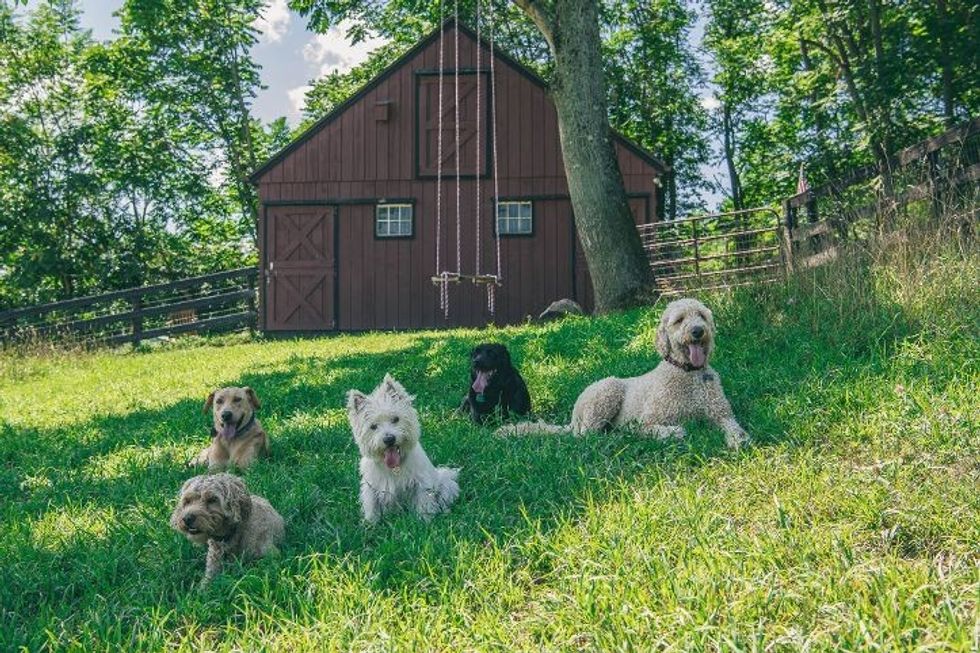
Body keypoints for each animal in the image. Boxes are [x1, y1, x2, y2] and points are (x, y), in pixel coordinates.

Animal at [346, 374, 462, 524]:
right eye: (373, 426)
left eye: (395, 419)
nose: (389, 439)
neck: (395, 467)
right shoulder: (371, 487)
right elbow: (371, 506)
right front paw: (371, 524)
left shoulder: (421, 483)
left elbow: (423, 502)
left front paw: (424, 521)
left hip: (445, 484)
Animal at [498, 296, 752, 448]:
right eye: (679, 320)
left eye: (701, 315)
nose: (698, 331)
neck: (688, 374)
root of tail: (573, 418)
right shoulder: (647, 421)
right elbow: (673, 431)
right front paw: (672, 433)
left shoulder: (722, 415)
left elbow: (733, 426)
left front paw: (738, 440)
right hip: (606, 393)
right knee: (585, 436)